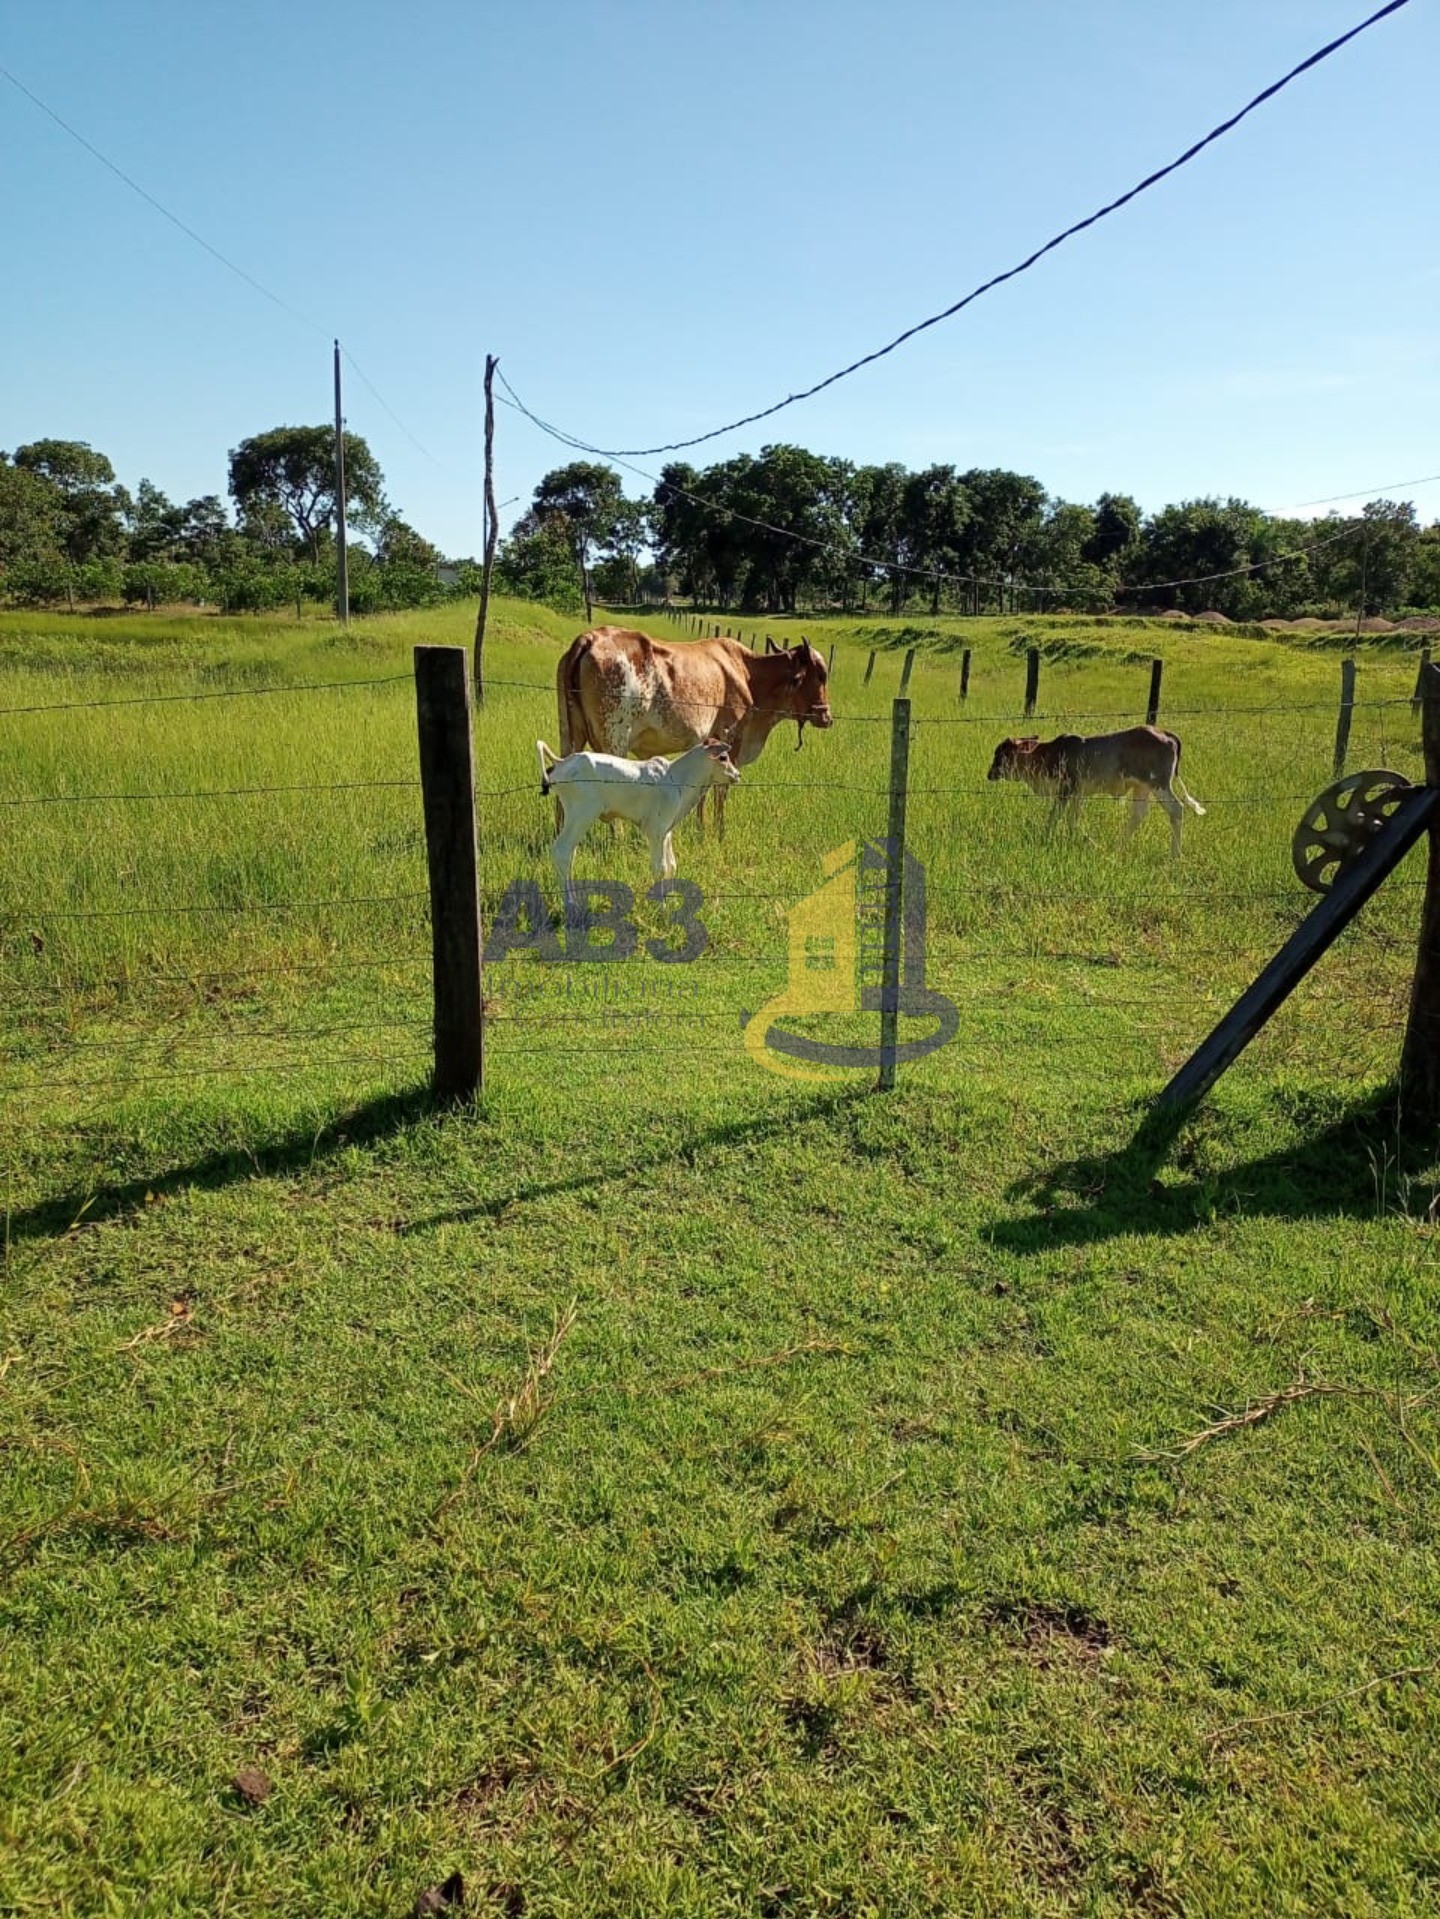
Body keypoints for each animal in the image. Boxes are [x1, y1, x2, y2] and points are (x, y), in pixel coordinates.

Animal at [541, 736, 744, 909]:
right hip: (581, 815)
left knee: (570, 853)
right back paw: (570, 903)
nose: (737, 775)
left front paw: (670, 900)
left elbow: (671, 865)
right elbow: (660, 868)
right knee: (562, 850)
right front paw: (661, 907)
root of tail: (561, 763)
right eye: (723, 757)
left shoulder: (666, 832)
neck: (677, 778)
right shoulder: (655, 831)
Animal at [556, 625, 840, 829]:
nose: (827, 717)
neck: (749, 675)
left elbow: (703, 791)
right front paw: (719, 833)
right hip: (614, 739)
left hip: (570, 735)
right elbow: (721, 792)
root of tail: (590, 637)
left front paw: (701, 830)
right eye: (821, 675)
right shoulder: (730, 738)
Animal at [990, 725, 1205, 855]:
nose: (989, 774)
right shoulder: (1078, 794)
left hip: (1159, 784)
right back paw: (1119, 847)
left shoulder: (1066, 789)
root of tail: (1164, 733)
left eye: (1002, 754)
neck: (1052, 754)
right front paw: (1080, 841)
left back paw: (1175, 855)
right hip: (1142, 787)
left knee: (1176, 809)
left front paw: (1047, 838)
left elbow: (1055, 816)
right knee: (1138, 814)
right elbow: (1073, 820)